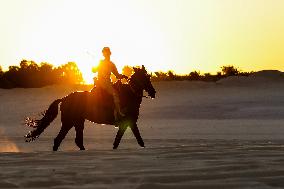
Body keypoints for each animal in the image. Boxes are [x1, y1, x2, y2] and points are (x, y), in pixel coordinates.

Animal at [24, 65, 156, 151]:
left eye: (148, 76)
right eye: (144, 77)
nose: (153, 92)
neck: (129, 94)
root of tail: (64, 98)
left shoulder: (127, 123)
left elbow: (118, 141)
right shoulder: (130, 122)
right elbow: (137, 139)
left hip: (77, 122)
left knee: (75, 140)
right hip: (69, 122)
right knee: (60, 139)